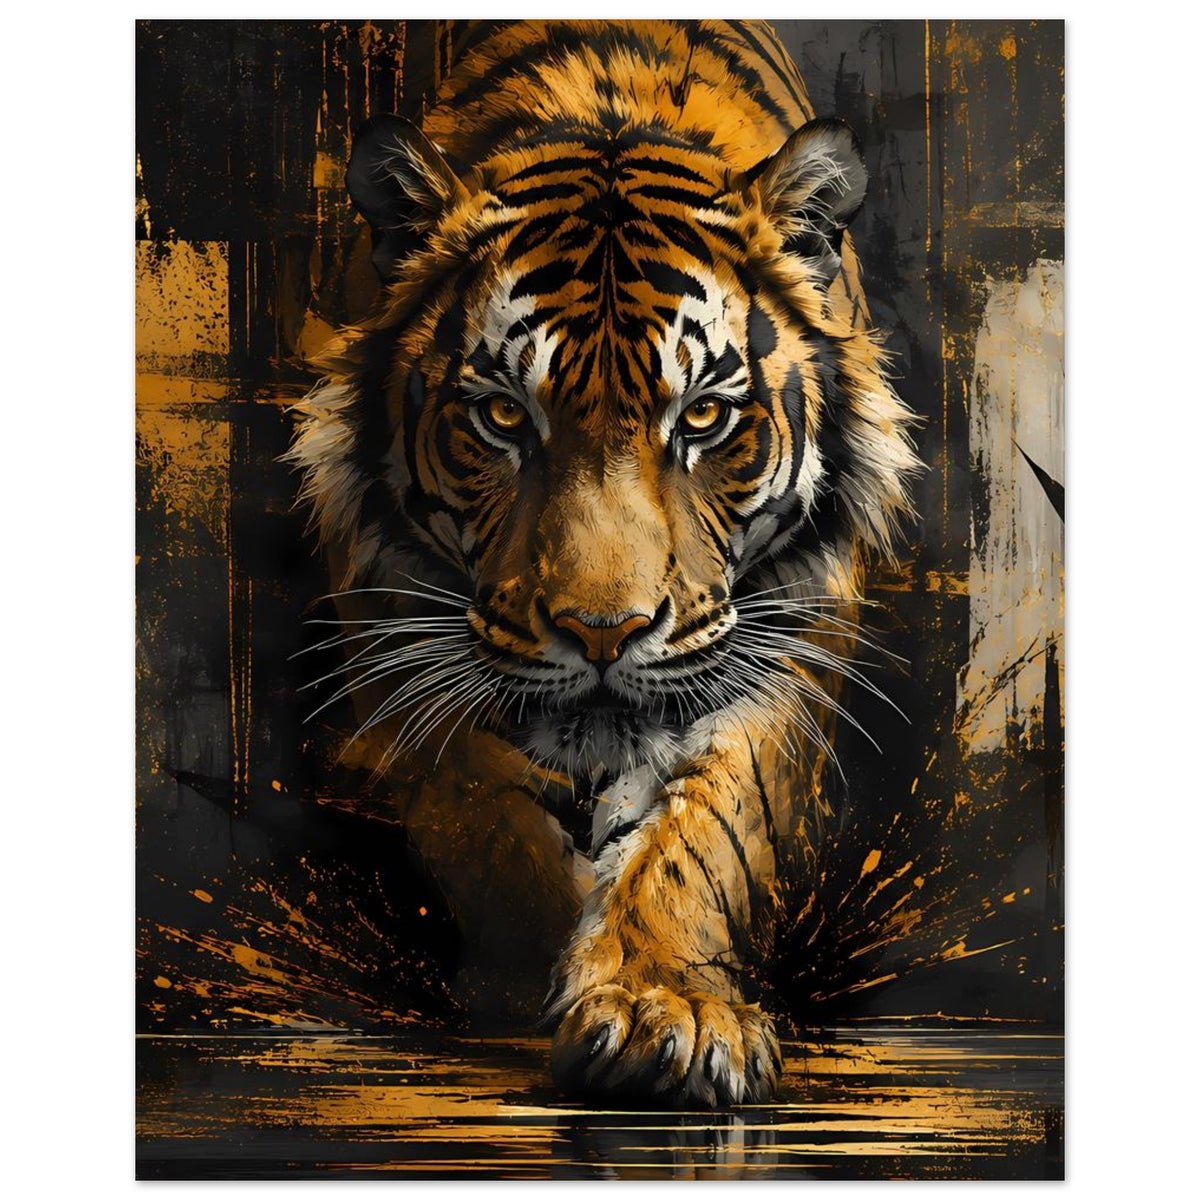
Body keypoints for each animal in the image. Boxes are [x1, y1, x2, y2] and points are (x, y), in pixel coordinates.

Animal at [289, 19, 919, 1108]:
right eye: (504, 417)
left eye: (702, 417)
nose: (601, 632)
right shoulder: (395, 623)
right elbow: (486, 822)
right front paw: (525, 985)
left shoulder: (786, 637)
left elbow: (706, 833)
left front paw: (664, 1013)